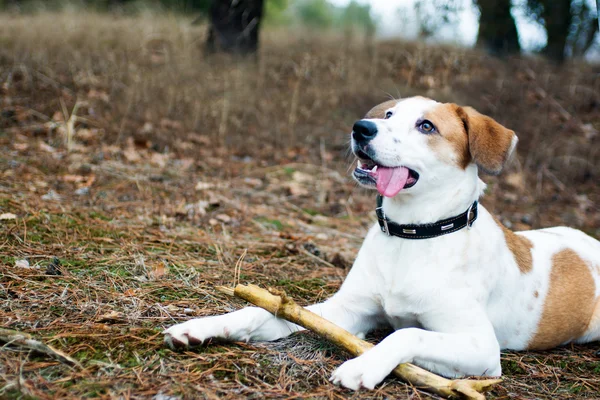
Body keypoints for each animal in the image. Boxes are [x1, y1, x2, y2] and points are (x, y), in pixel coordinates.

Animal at [163, 96, 600, 390]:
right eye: (388, 115)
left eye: (426, 126)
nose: (362, 128)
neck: (413, 235)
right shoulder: (345, 310)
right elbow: (262, 311)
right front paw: (205, 325)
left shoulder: (481, 347)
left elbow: (405, 333)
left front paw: (363, 366)